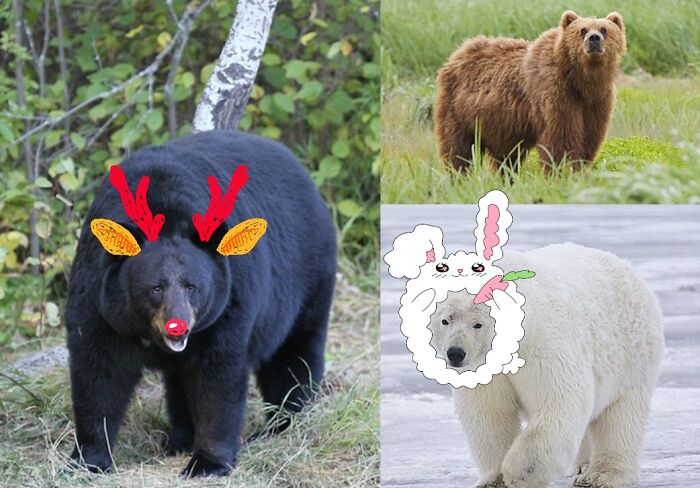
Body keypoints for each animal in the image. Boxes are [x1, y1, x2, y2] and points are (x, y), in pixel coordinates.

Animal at [64, 130, 337, 477]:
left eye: (192, 287)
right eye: (155, 288)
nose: (178, 326)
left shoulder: (227, 306)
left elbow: (216, 378)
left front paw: (207, 463)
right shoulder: (99, 303)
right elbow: (99, 373)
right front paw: (89, 459)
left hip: (306, 280)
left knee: (292, 356)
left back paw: (284, 423)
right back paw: (180, 439)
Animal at [429, 243, 663, 488]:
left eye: (478, 324)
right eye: (445, 320)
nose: (455, 353)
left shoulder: (544, 344)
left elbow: (560, 401)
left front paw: (519, 473)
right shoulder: (486, 368)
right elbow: (489, 413)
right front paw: (494, 480)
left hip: (631, 355)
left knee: (620, 416)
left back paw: (601, 476)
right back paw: (582, 466)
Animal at [435, 11, 626, 172]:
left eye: (604, 29)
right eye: (582, 30)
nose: (594, 38)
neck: (580, 81)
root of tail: (457, 54)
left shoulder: (597, 101)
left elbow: (589, 137)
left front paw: (579, 168)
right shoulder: (556, 93)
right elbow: (561, 138)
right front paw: (561, 171)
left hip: (501, 124)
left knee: (506, 158)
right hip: (459, 111)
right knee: (459, 149)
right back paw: (459, 175)